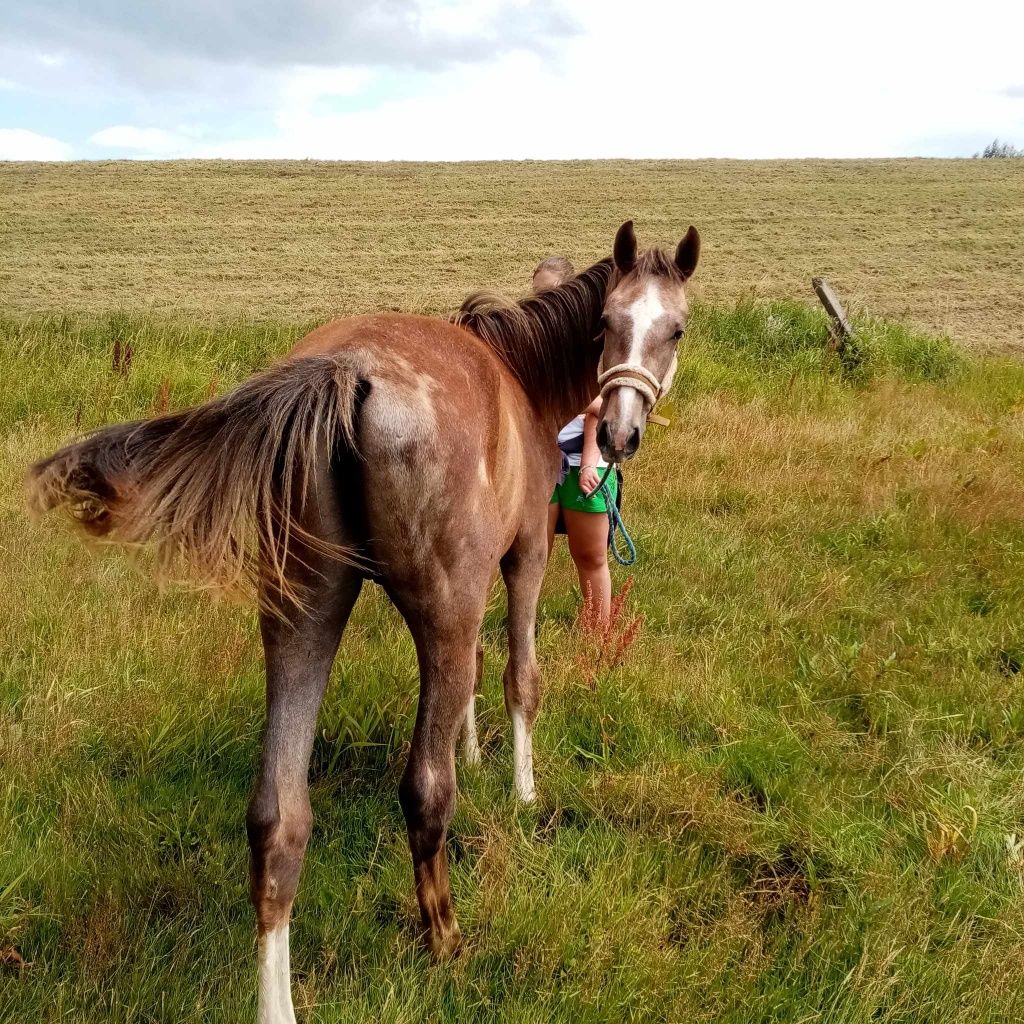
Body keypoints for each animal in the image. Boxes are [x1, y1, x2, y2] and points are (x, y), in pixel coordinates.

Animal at [25, 220, 696, 1019]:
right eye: (611, 324)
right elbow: (517, 678)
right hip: (430, 607)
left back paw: (278, 1002)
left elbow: (470, 680)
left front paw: (476, 751)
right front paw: (524, 791)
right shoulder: (523, 559)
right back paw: (446, 940)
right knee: (425, 789)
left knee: (278, 820)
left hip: (303, 614)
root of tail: (343, 372)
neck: (522, 377)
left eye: (673, 328)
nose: (621, 433)